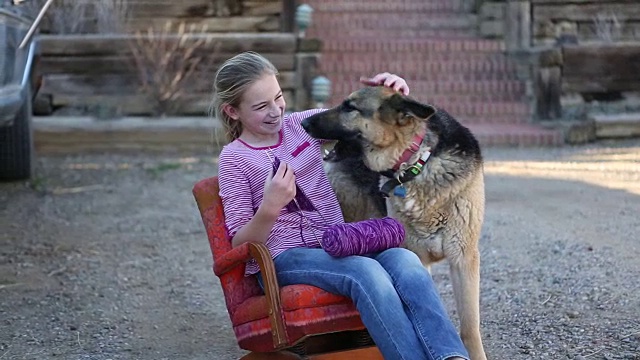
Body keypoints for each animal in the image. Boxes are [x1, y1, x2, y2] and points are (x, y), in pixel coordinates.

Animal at [302, 86, 488, 360]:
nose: (303, 122)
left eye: (349, 107)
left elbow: (469, 327)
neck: (416, 163)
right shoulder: (416, 255)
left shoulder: (463, 258)